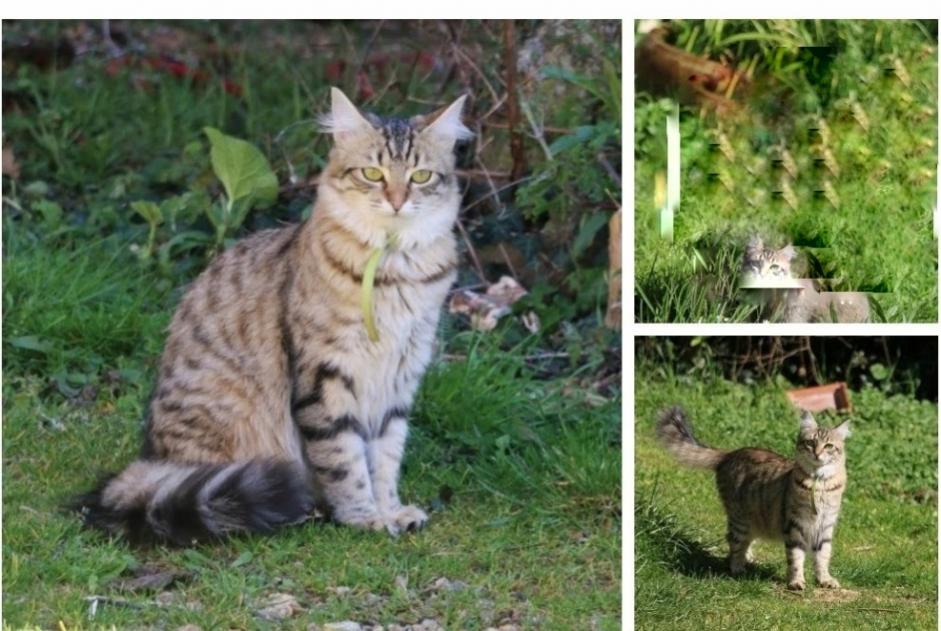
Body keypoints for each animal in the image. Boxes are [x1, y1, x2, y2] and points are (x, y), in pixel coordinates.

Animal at [656, 408, 848, 592]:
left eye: (829, 446)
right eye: (811, 443)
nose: (817, 453)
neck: (820, 484)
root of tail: (730, 454)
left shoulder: (825, 527)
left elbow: (822, 557)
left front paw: (825, 580)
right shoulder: (794, 525)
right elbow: (796, 558)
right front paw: (796, 582)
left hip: (753, 522)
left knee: (743, 543)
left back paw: (749, 560)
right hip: (740, 520)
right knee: (733, 543)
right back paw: (738, 569)